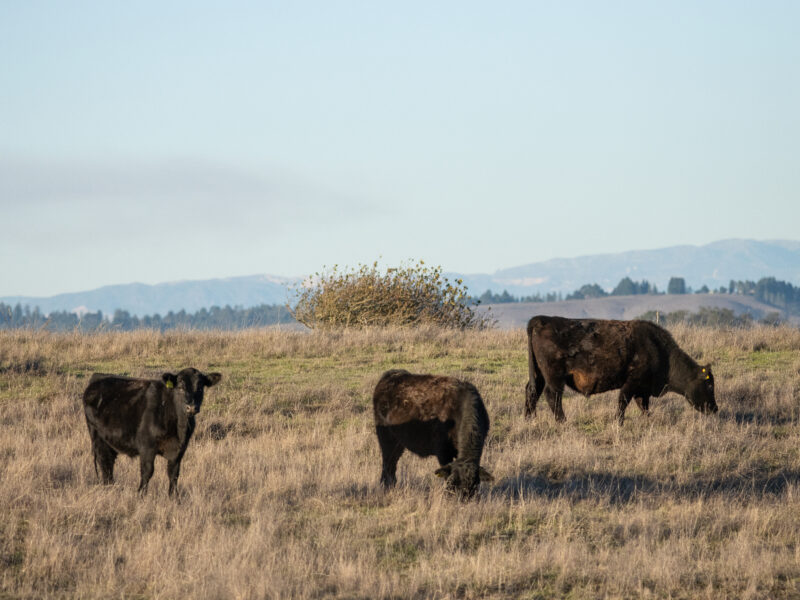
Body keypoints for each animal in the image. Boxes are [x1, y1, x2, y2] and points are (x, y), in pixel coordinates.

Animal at [82, 368, 222, 494]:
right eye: (180, 387)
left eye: (200, 388)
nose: (191, 407)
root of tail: (98, 377)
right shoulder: (146, 447)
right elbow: (147, 472)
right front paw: (141, 494)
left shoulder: (179, 450)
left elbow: (174, 474)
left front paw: (174, 497)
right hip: (97, 437)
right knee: (104, 463)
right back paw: (108, 488)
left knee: (109, 464)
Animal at [370, 368, 490, 500]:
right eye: (453, 482)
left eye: (475, 484)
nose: (462, 499)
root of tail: (391, 375)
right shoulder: (443, 451)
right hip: (386, 438)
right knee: (387, 463)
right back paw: (386, 486)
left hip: (398, 443)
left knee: (392, 465)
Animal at [524, 316, 720, 424]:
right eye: (709, 385)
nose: (715, 408)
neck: (658, 348)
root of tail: (541, 320)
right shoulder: (631, 383)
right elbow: (623, 402)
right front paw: (619, 422)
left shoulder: (642, 389)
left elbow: (643, 406)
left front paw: (648, 419)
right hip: (554, 377)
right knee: (552, 396)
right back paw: (562, 421)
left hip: (539, 375)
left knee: (532, 391)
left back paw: (529, 419)